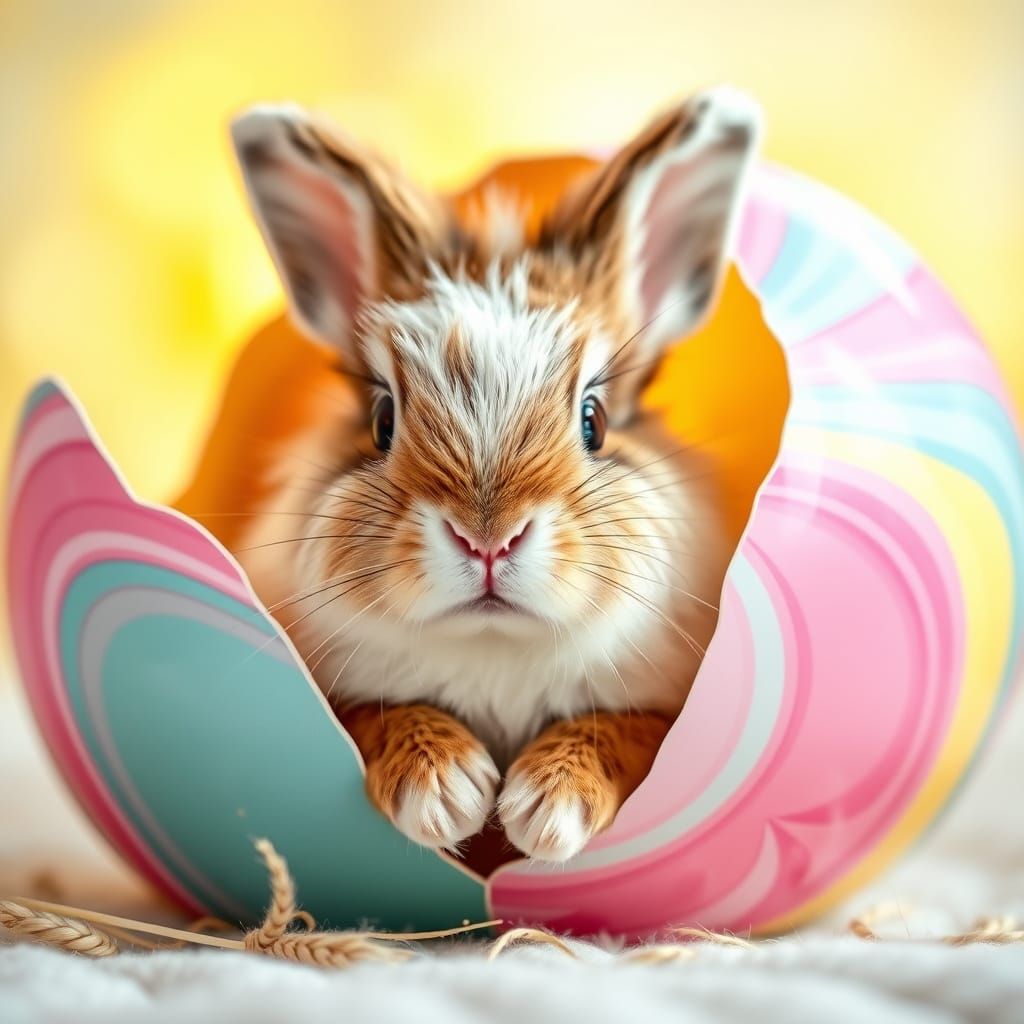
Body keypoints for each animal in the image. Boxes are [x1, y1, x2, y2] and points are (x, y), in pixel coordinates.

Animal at [231, 86, 761, 863]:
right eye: (383, 420)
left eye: (595, 420)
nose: (488, 540)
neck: (495, 648)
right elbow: (371, 716)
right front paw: (444, 790)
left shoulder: (661, 715)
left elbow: (627, 733)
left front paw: (547, 807)